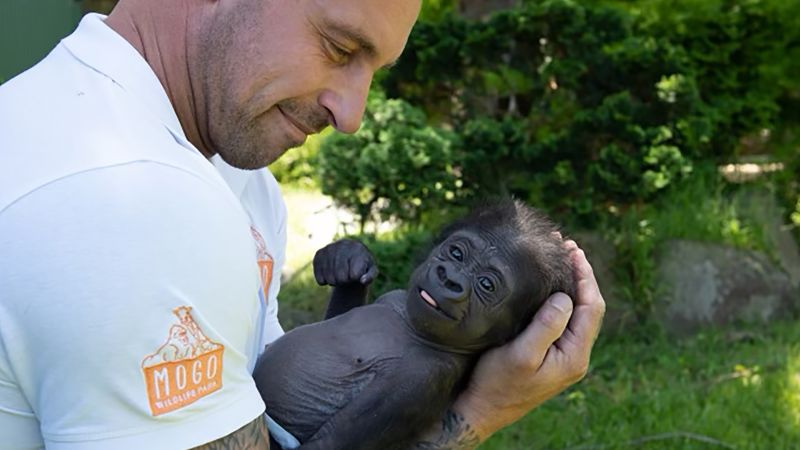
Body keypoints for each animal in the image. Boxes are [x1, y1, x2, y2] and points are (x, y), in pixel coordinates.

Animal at [254, 199, 575, 450]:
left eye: (486, 284)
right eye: (457, 253)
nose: (450, 279)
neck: (413, 327)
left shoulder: (423, 377)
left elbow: (330, 443)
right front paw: (347, 262)